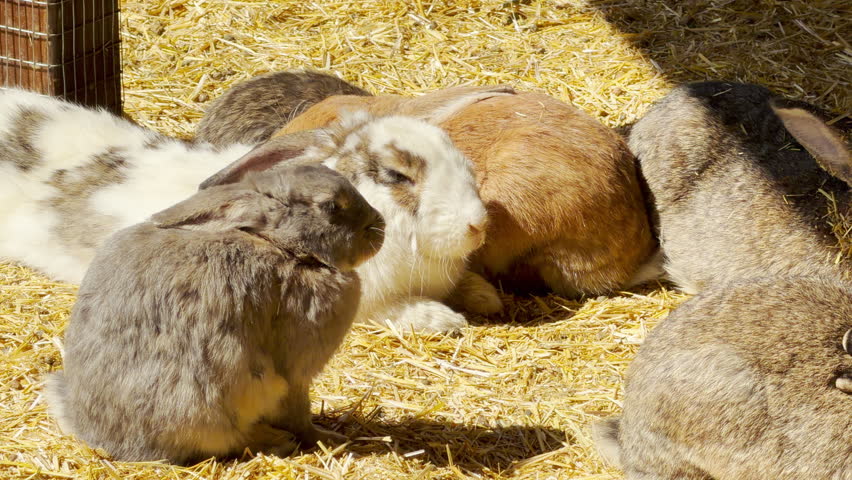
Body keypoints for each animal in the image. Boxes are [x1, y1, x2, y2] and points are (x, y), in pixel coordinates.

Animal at [45, 164, 385, 464]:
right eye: (331, 206)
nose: (380, 226)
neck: (282, 248)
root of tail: (99, 437)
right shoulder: (294, 373)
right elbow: (299, 415)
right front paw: (330, 439)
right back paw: (276, 440)